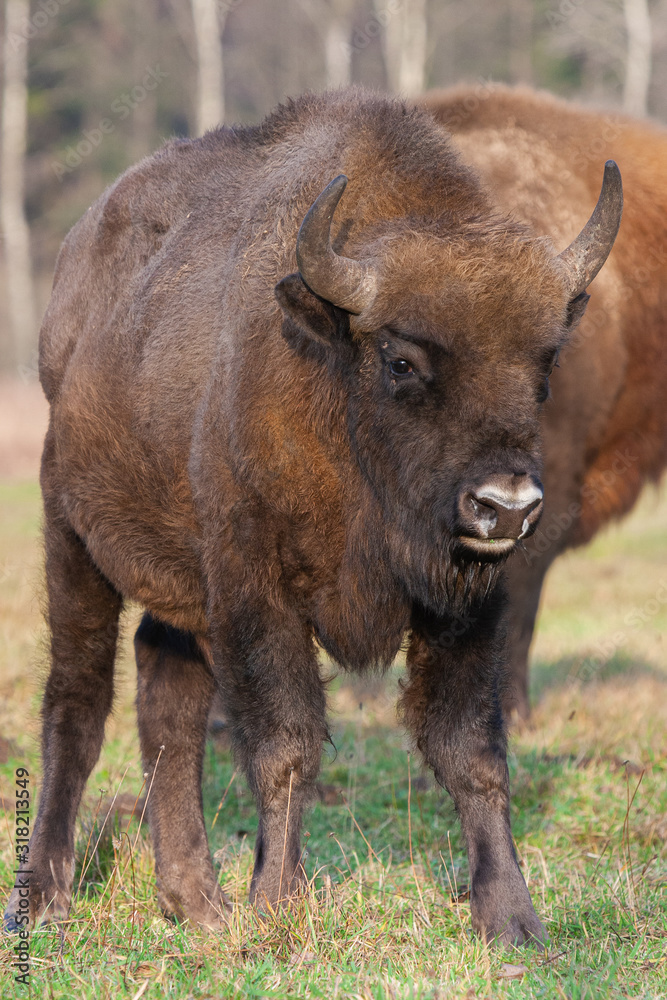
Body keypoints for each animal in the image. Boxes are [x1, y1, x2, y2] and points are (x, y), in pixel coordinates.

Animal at [2, 88, 624, 944]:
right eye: (401, 360)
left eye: (545, 359)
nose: (505, 507)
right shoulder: (254, 589)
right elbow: (286, 744)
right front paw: (275, 906)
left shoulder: (466, 606)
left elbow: (470, 751)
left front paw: (512, 920)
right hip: (73, 535)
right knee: (78, 698)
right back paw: (47, 904)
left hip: (179, 584)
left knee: (168, 702)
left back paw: (196, 903)